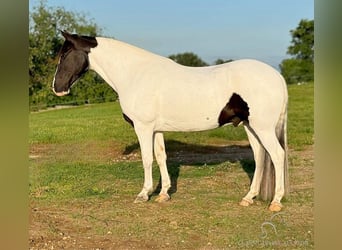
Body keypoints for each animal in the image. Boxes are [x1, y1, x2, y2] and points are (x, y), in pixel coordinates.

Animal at [52, 30, 288, 212]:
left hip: (263, 128)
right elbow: (161, 157)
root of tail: (277, 76)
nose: (57, 88)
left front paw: (143, 194)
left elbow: (147, 159)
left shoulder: (143, 128)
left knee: (277, 155)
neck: (135, 74)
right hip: (250, 126)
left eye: (65, 54)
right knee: (260, 156)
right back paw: (248, 198)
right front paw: (163, 193)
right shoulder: (156, 130)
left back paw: (276, 202)